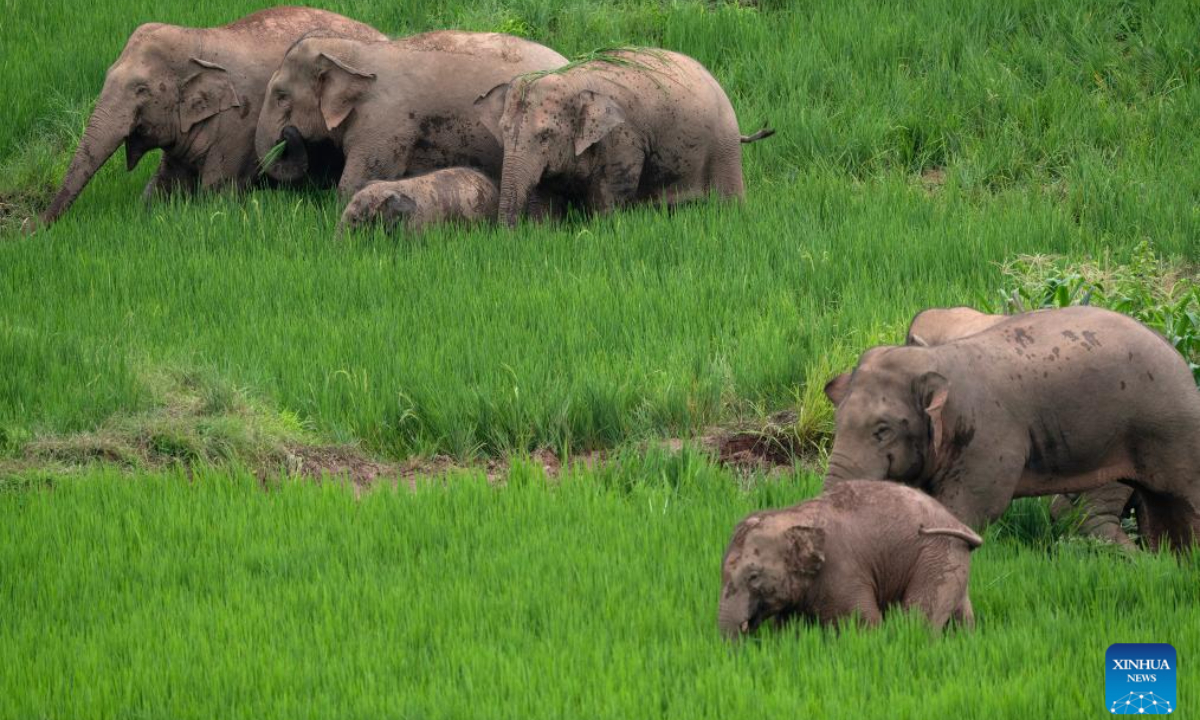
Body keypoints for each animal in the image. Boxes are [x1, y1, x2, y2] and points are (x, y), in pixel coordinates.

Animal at [37, 7, 385, 227]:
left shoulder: (238, 127)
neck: (198, 38)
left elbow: (216, 194)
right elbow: (164, 187)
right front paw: (147, 214)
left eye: (141, 89)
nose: (32, 229)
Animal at [473, 48, 775, 227]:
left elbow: (608, 199)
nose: (507, 238)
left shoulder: (622, 139)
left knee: (729, 201)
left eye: (545, 135)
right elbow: (544, 197)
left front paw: (605, 231)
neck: (575, 80)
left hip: (724, 149)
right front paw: (541, 232)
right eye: (503, 131)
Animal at [718, 480, 980, 639]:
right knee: (960, 616)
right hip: (952, 561)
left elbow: (864, 623)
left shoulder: (842, 573)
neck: (793, 515)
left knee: (919, 619)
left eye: (753, 576)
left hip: (937, 556)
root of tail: (957, 523)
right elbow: (788, 629)